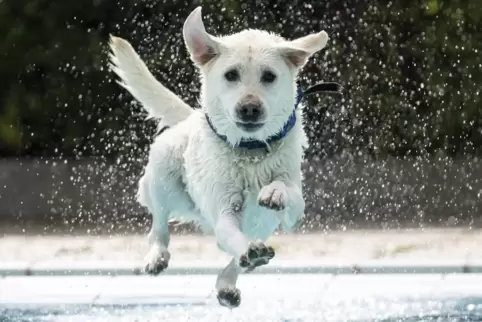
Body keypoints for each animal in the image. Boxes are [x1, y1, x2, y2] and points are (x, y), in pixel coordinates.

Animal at [108, 6, 330, 308]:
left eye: (269, 76)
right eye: (231, 75)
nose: (249, 108)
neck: (250, 151)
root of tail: (190, 117)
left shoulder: (292, 213)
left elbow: (287, 191)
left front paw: (274, 192)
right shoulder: (224, 209)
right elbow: (232, 233)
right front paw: (247, 248)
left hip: (261, 226)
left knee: (236, 262)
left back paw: (227, 285)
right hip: (164, 176)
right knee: (159, 227)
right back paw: (158, 256)